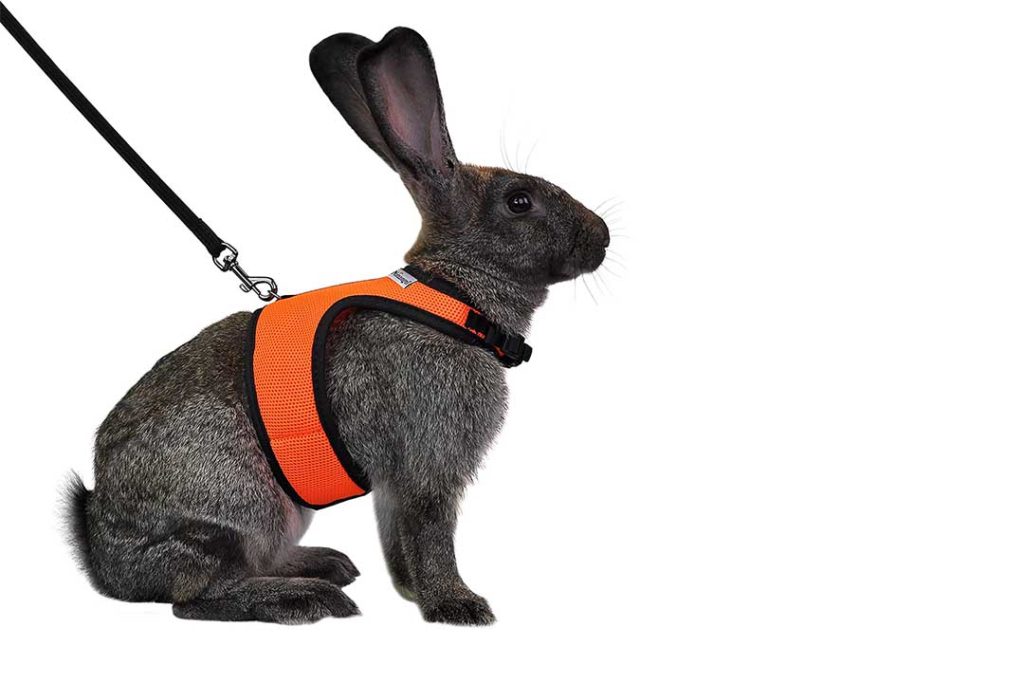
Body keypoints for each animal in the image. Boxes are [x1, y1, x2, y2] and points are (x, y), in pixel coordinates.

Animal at [62, 26, 609, 625]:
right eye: (519, 201)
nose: (603, 237)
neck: (454, 293)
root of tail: (105, 558)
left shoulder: (396, 485)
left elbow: (398, 539)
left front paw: (411, 592)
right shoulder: (430, 461)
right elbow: (432, 534)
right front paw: (456, 606)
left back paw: (323, 565)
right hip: (238, 502)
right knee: (196, 597)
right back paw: (303, 597)